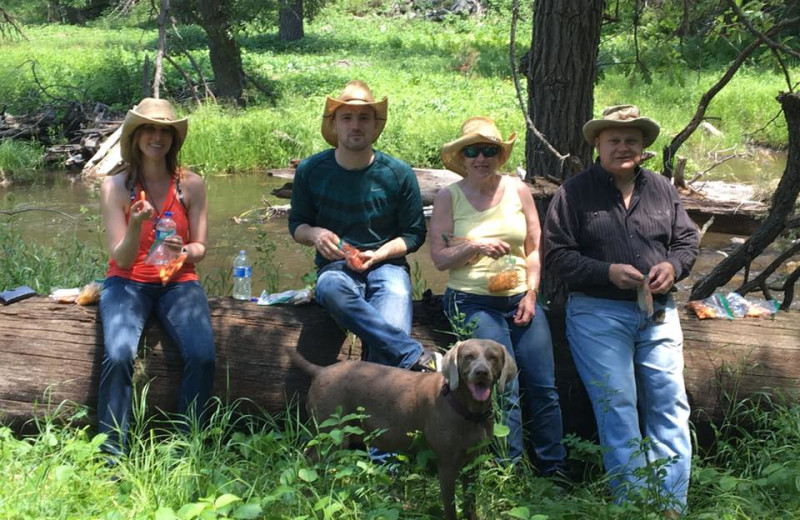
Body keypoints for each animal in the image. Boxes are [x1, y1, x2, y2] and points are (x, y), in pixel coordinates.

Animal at [288, 340, 520, 516]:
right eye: (469, 356)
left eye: (493, 357)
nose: (481, 373)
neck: (469, 413)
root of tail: (321, 370)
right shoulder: (446, 465)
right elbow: (450, 507)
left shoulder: (473, 464)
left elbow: (470, 505)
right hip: (332, 434)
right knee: (307, 463)